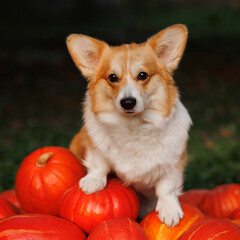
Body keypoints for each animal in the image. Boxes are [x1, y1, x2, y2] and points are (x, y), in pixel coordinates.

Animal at [67, 24, 191, 227]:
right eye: (112, 77)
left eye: (143, 75)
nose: (128, 102)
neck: (133, 126)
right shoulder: (94, 147)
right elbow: (99, 164)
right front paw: (93, 181)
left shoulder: (173, 164)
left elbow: (166, 188)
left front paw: (169, 210)